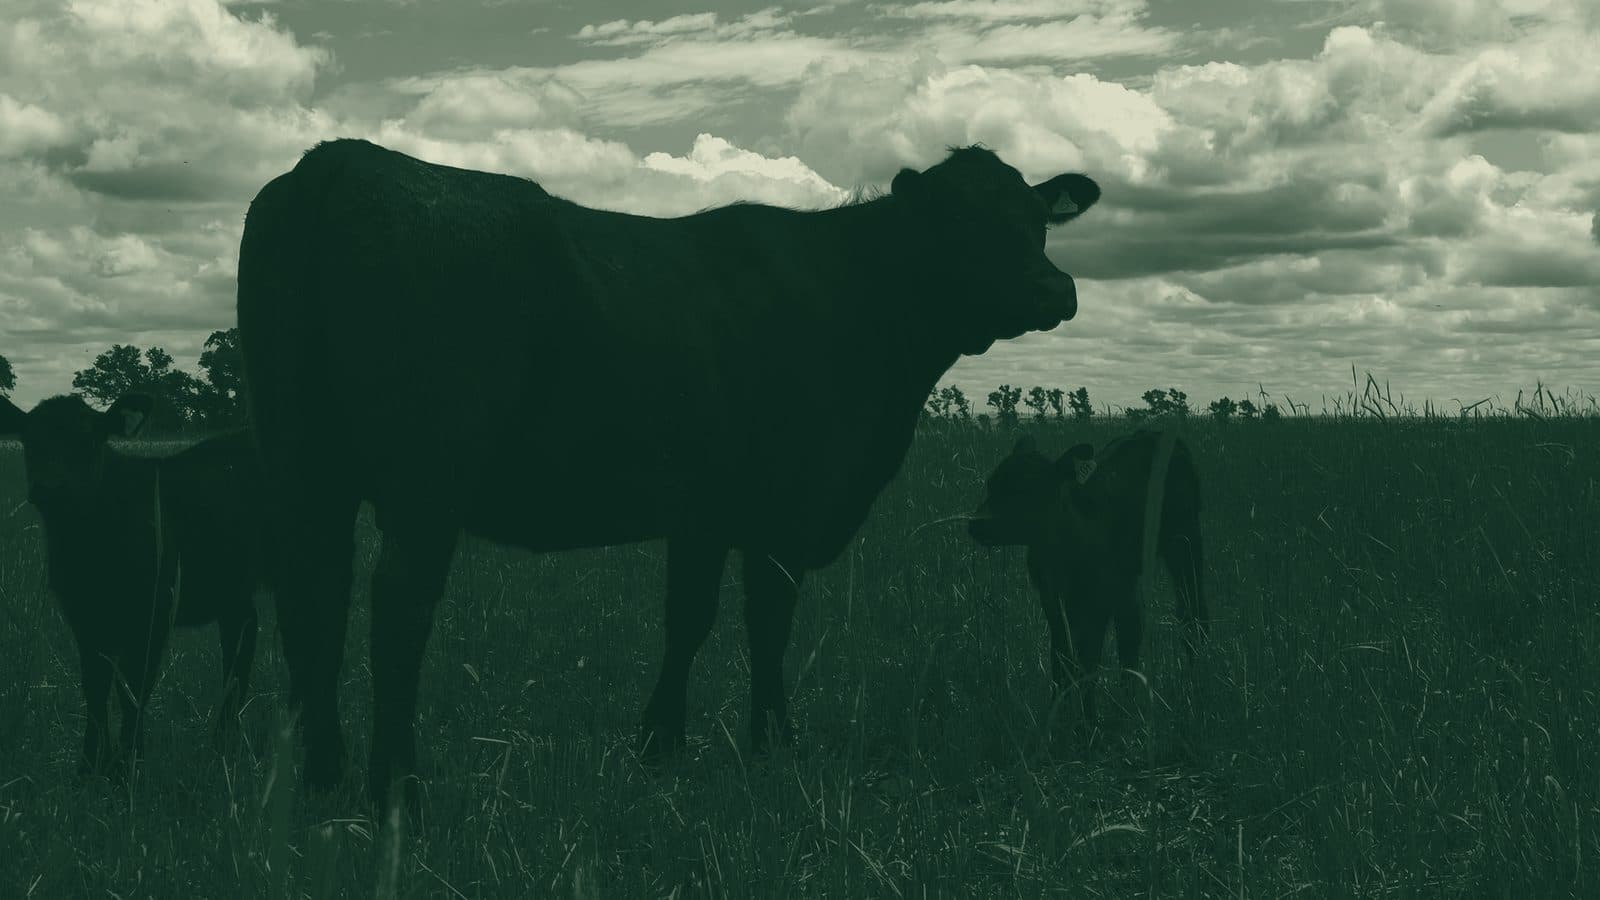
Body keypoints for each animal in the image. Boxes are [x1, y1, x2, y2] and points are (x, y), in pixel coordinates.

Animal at [0, 393, 271, 776]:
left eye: (88, 441)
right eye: (31, 442)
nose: (50, 487)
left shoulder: (153, 612)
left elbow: (133, 688)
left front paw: (128, 766)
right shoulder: (83, 616)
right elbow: (95, 686)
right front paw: (89, 766)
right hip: (233, 587)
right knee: (240, 646)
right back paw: (224, 744)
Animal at [236, 138, 1101, 811]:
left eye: (1036, 220)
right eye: (963, 222)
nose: (1055, 289)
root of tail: (333, 163)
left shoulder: (704, 511)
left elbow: (688, 621)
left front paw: (661, 744)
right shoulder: (778, 506)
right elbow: (763, 620)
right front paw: (771, 740)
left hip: (299, 460)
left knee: (314, 600)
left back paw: (322, 780)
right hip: (425, 474)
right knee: (396, 609)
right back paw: (397, 790)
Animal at [968, 429, 1207, 722]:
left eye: (1025, 491)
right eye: (991, 484)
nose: (976, 522)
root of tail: (1161, 433)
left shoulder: (1097, 601)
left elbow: (1087, 659)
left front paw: (1087, 721)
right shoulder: (1053, 598)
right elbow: (1061, 656)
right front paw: (1057, 716)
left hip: (1185, 539)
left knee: (1192, 612)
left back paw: (1196, 685)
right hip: (1127, 578)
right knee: (1131, 629)